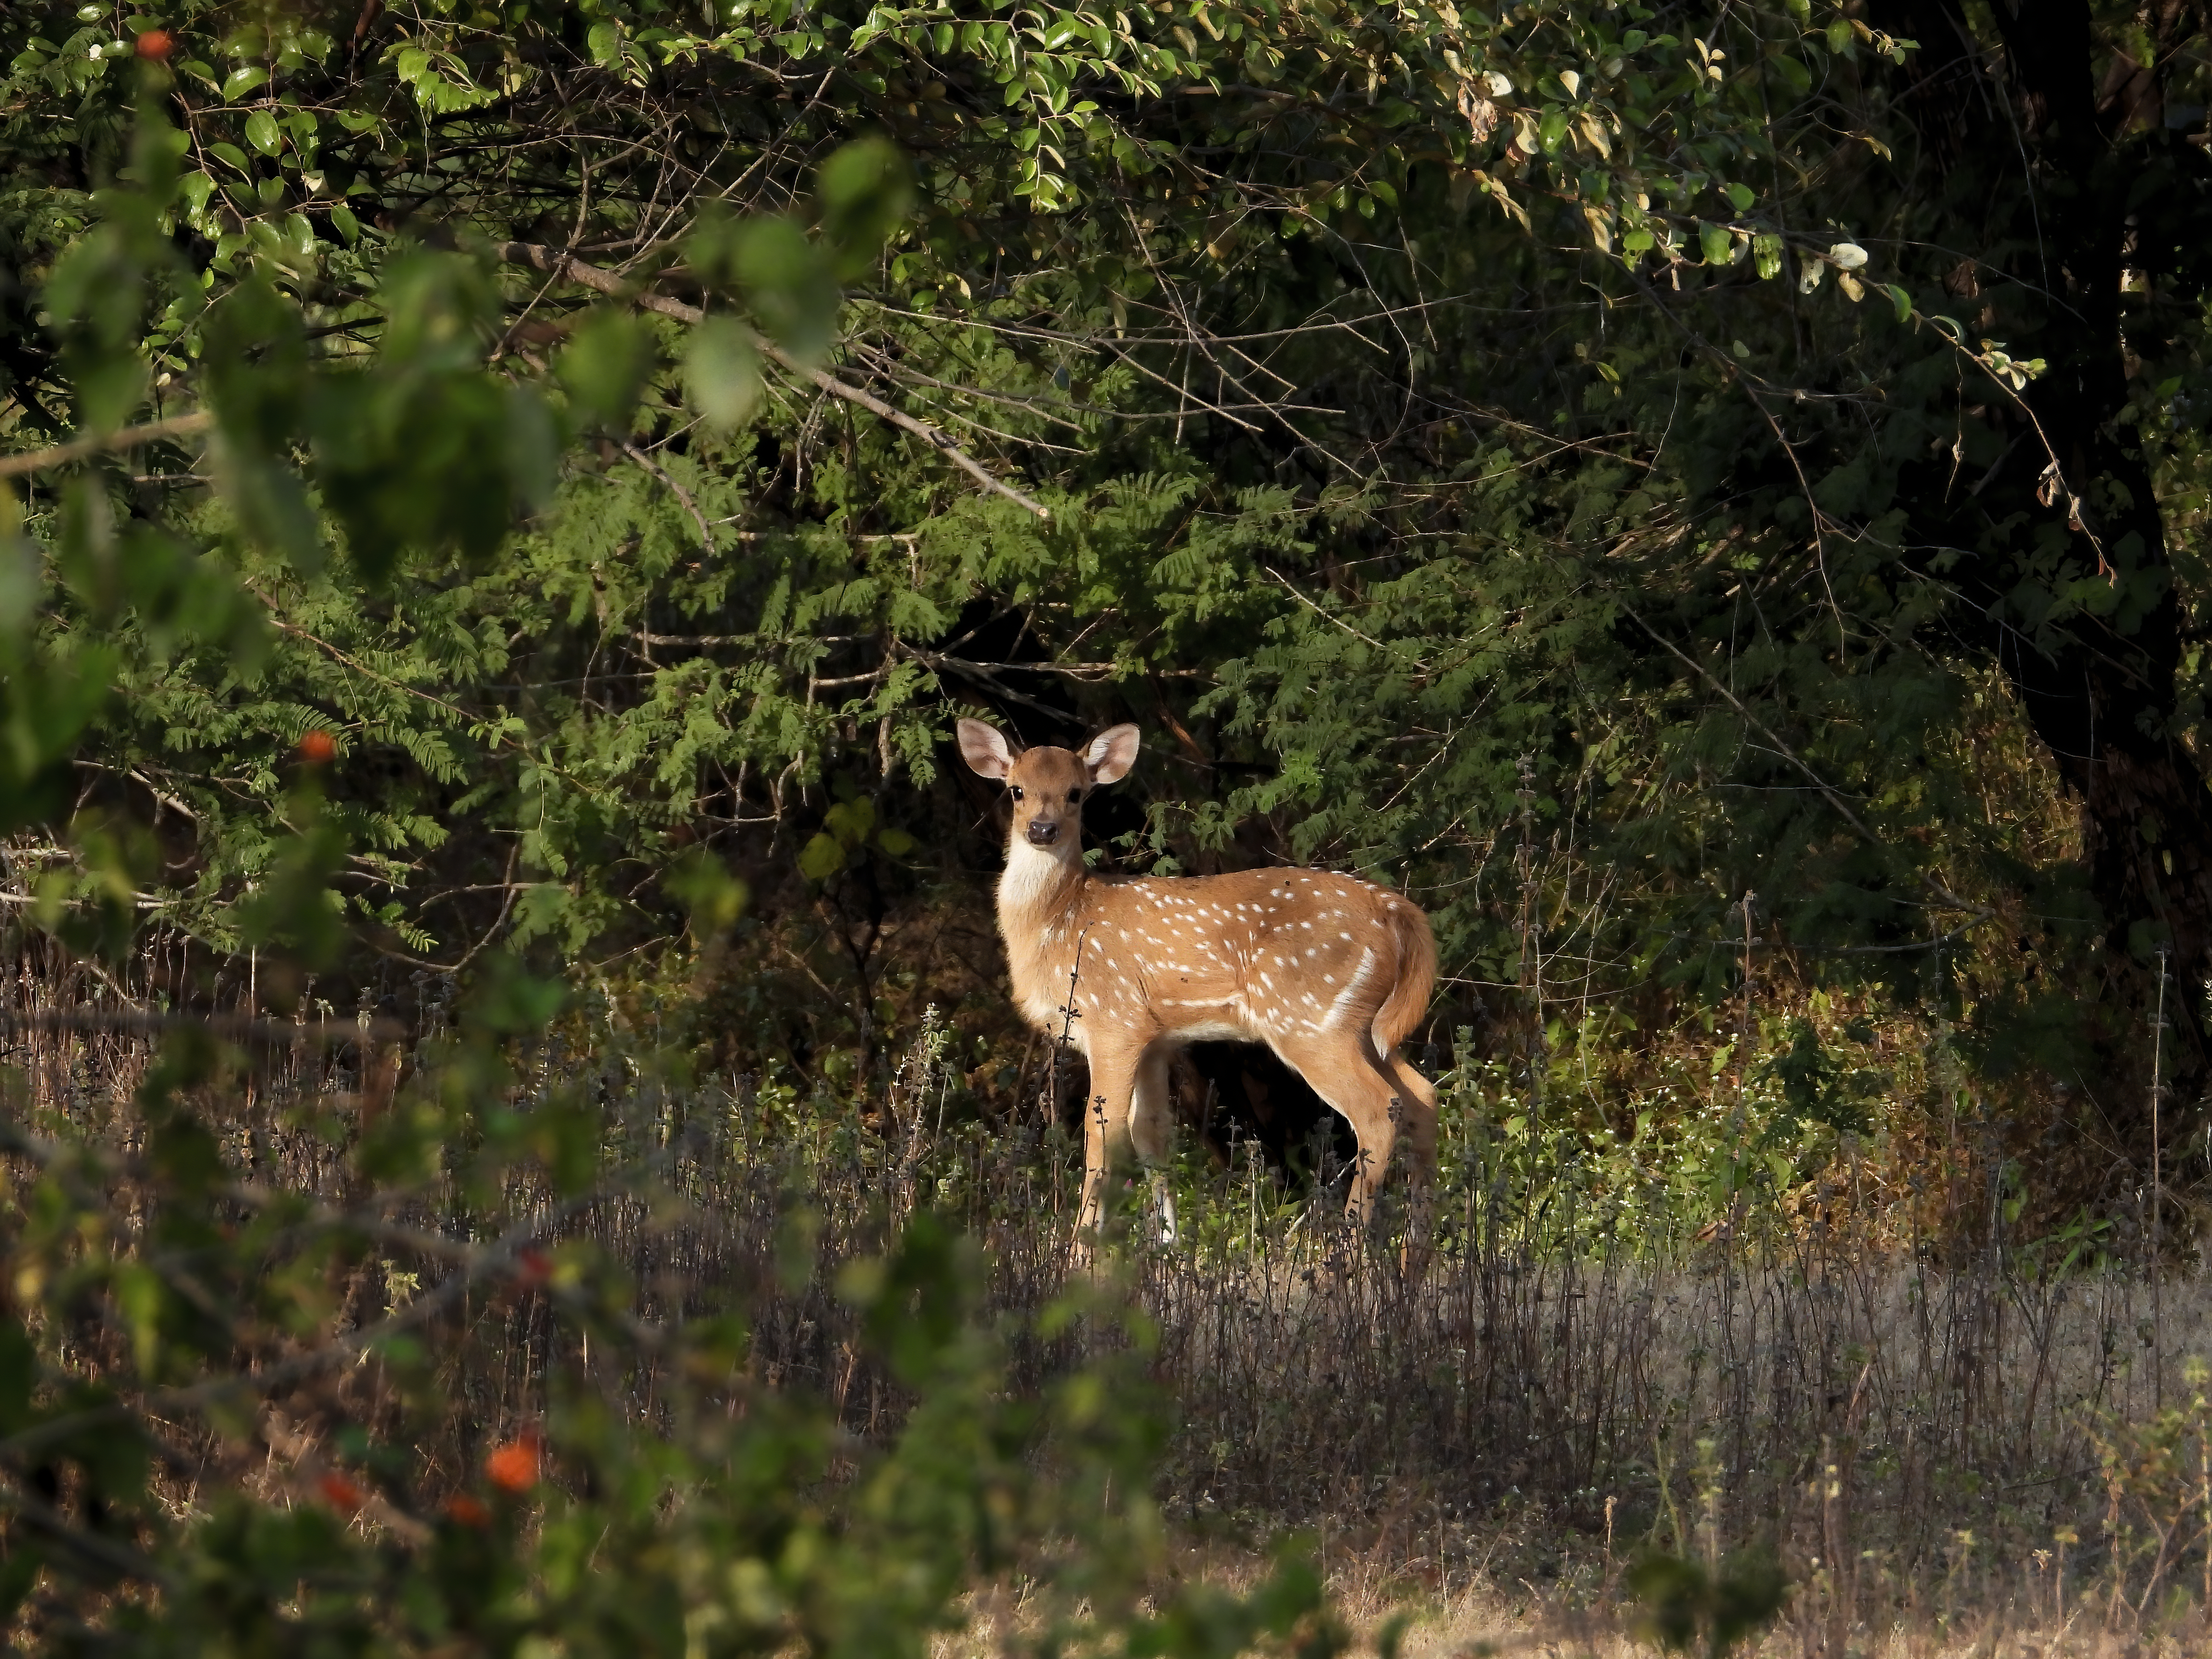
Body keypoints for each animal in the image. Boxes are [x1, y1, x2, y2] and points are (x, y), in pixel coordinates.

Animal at [956, 717, 1438, 1257]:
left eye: (1076, 793)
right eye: (1016, 790)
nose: (1043, 830)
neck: (1059, 923)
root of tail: (1398, 913)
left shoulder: (1114, 1021)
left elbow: (1102, 1138)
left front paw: (1081, 1252)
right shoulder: (1155, 1040)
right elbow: (1151, 1136)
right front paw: (1167, 1244)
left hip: (1310, 1019)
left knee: (1378, 1112)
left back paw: (1346, 1246)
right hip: (1366, 1026)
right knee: (1422, 1099)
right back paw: (1414, 1253)